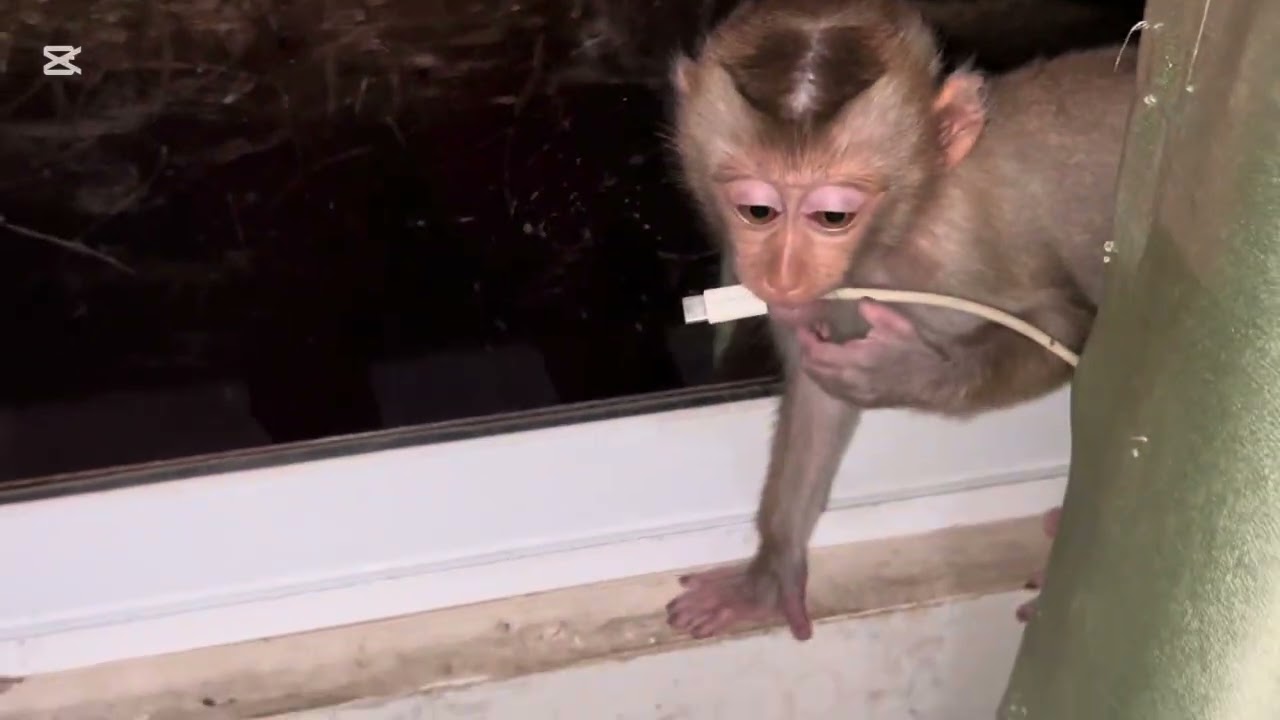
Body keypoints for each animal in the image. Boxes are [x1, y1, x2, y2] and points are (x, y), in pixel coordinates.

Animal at [664, 0, 1136, 641]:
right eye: (757, 211)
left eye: (833, 216)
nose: (782, 275)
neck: (901, 225)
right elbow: (819, 399)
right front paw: (770, 572)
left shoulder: (956, 252)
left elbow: (1061, 326)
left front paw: (905, 373)